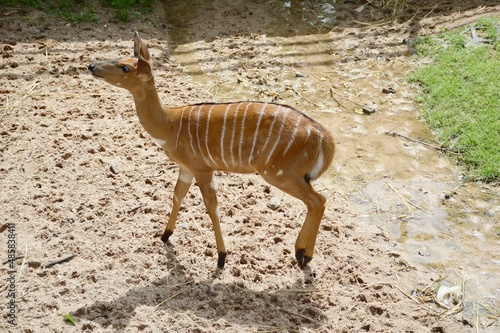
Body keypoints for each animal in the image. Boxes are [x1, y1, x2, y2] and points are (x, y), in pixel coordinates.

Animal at [89, 32, 336, 268]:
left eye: (125, 67)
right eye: (120, 58)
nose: (91, 66)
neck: (169, 125)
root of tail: (323, 135)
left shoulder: (202, 169)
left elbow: (212, 208)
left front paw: (221, 257)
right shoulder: (186, 168)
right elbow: (177, 196)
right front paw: (165, 235)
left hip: (279, 174)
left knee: (318, 201)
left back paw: (304, 255)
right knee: (317, 201)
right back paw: (302, 253)